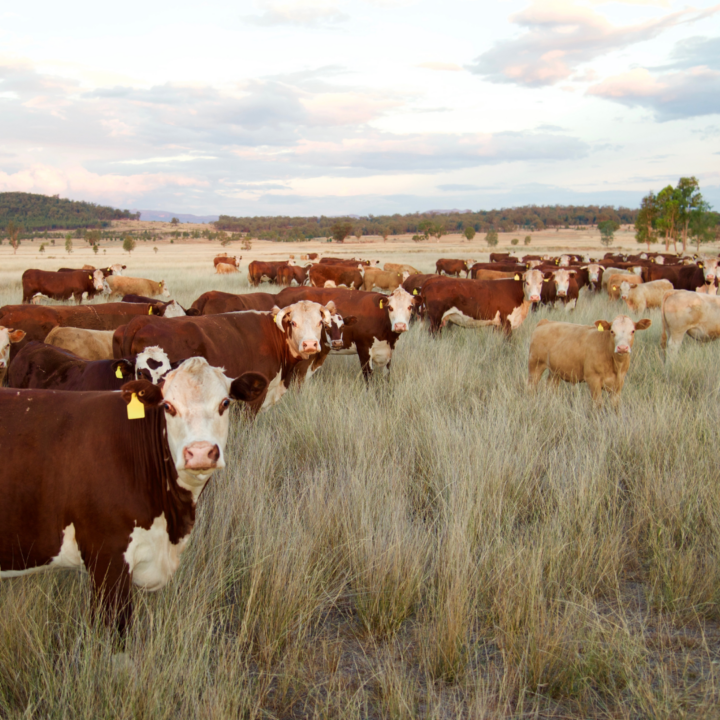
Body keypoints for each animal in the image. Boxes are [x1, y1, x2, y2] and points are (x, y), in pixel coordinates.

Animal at [274, 286, 417, 378]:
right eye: (390, 307)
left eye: (410, 307)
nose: (400, 325)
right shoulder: (363, 349)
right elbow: (369, 377)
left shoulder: (388, 352)